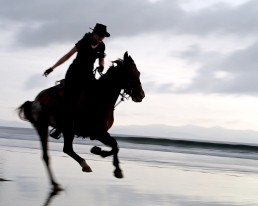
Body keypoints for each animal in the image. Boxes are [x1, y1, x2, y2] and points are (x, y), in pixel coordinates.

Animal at [17, 52, 145, 191]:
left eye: (138, 73)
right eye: (131, 73)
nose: (141, 95)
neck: (101, 97)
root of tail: (36, 99)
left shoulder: (102, 133)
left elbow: (115, 146)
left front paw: (108, 161)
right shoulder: (98, 133)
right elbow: (115, 145)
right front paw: (101, 154)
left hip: (68, 130)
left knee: (67, 149)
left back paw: (82, 166)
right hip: (43, 126)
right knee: (47, 155)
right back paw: (57, 183)